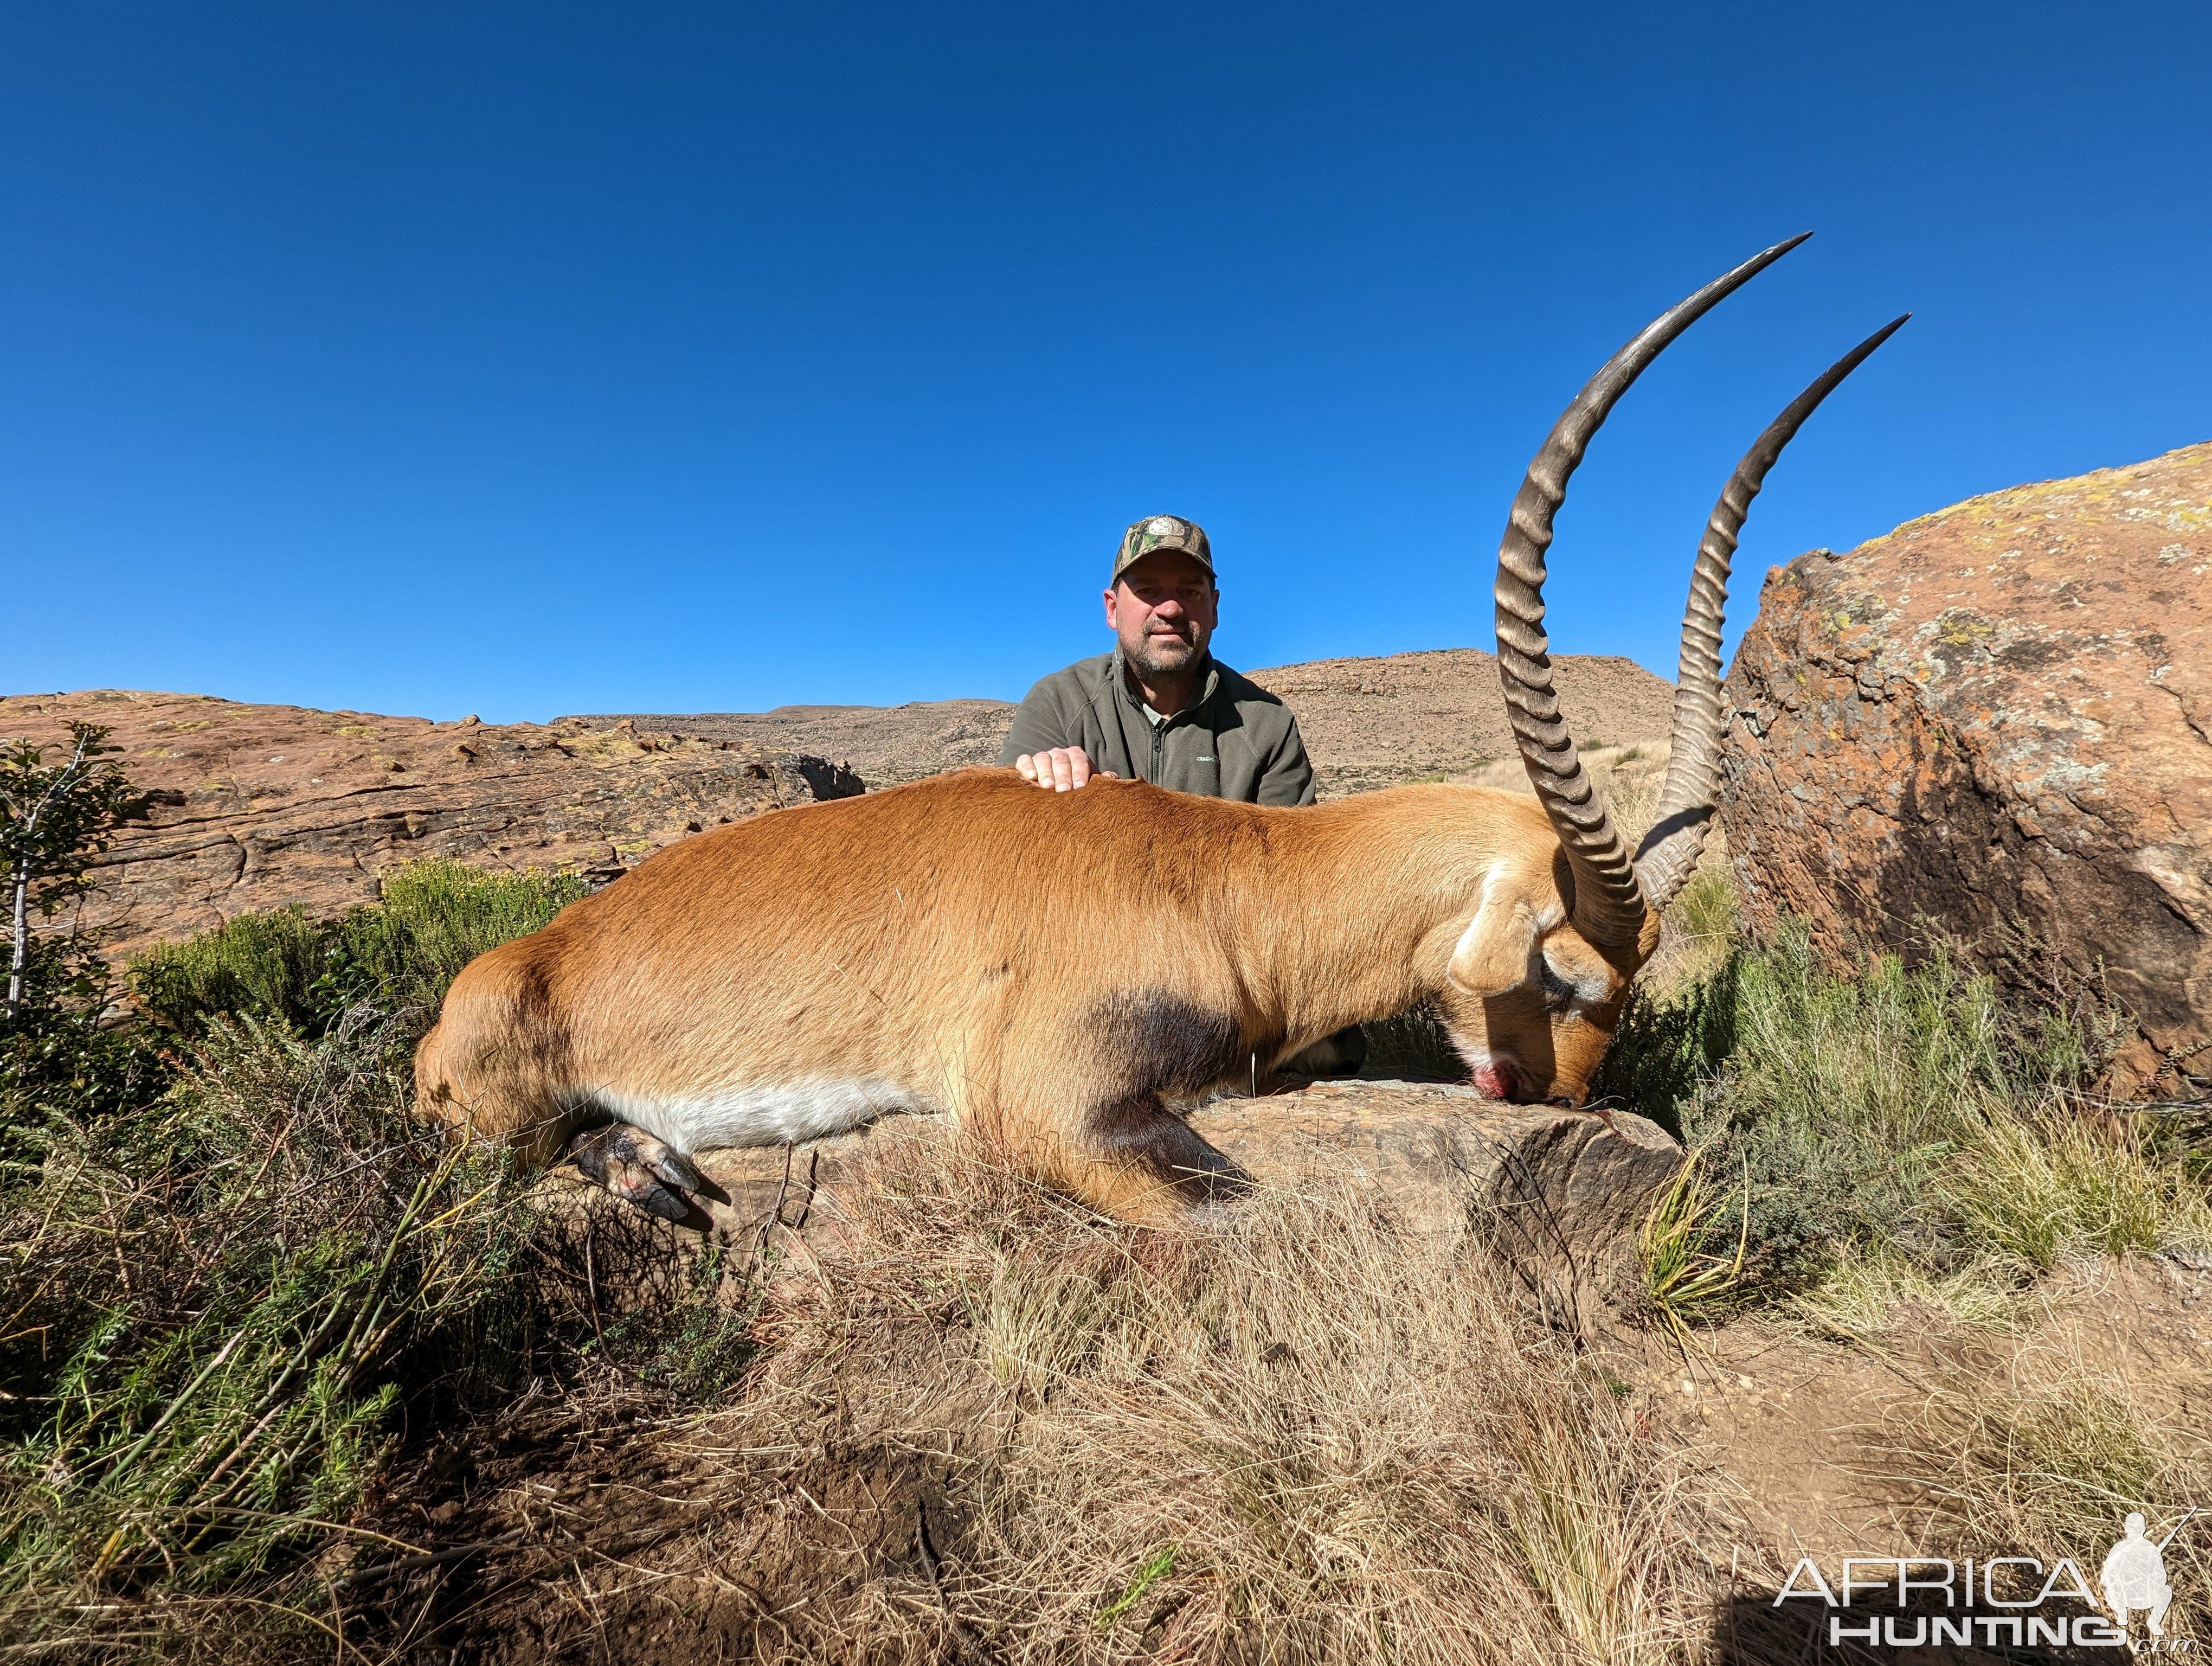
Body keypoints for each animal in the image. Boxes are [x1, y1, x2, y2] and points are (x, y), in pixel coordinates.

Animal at [422, 234, 1911, 1221]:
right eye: (1569, 976)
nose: (1567, 1102)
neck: (1231, 878)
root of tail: (521, 955)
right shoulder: (1049, 1109)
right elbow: (1249, 1218)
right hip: (484, 1102)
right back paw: (641, 1165)